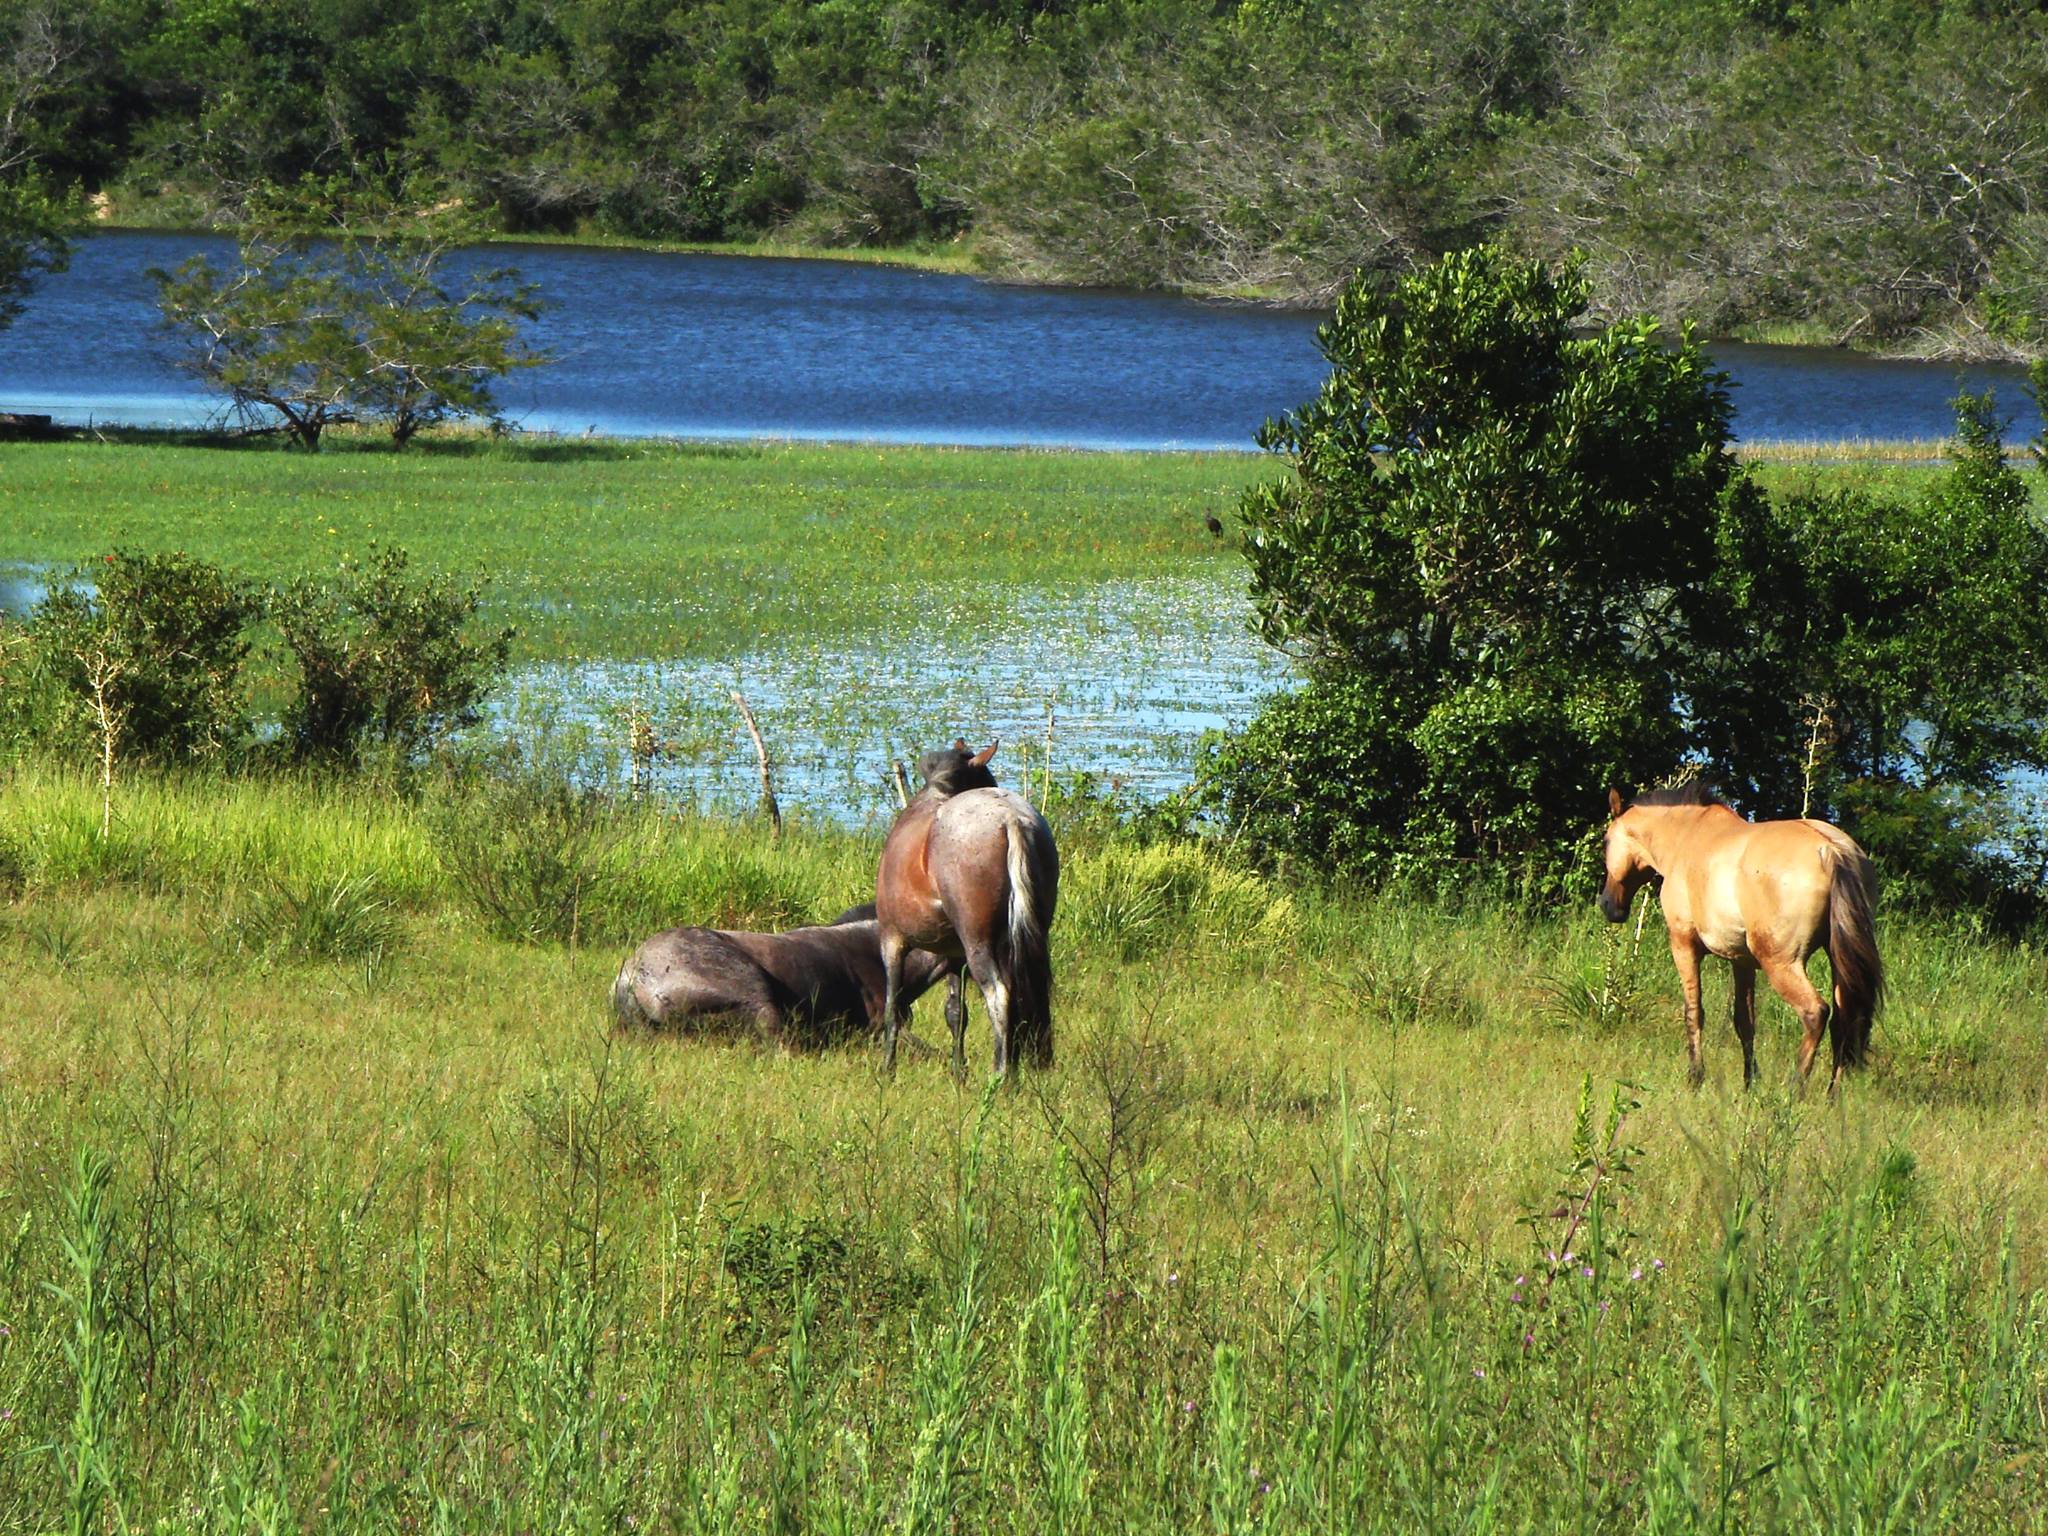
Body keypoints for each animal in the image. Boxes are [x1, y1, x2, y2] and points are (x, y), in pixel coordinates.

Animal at [1597, 786, 1884, 1097]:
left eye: (1606, 841)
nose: (1609, 905)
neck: (1686, 836)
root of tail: (1831, 850)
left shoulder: (1683, 944)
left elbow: (1693, 1012)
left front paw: (1695, 1077)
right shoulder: (1742, 961)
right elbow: (1745, 1021)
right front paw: (1749, 1083)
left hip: (1782, 963)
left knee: (1816, 1013)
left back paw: (1795, 1091)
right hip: (1837, 963)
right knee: (1844, 1021)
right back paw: (1832, 1097)